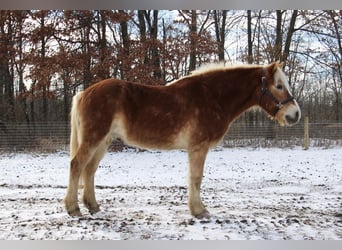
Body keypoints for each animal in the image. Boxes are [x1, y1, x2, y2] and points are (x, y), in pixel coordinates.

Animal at [64, 61, 300, 218]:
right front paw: (199, 211)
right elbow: (196, 178)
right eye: (279, 86)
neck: (212, 97)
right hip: (94, 139)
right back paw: (73, 209)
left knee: (89, 170)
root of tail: (83, 93)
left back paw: (92, 206)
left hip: (103, 141)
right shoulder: (198, 147)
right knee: (77, 165)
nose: (295, 114)